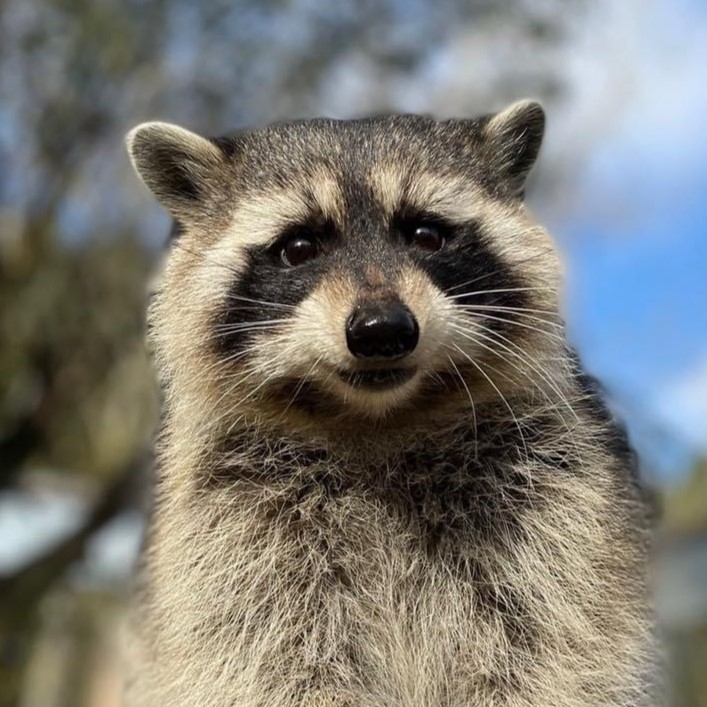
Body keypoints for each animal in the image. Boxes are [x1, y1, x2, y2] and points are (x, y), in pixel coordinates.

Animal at [124, 101, 653, 706]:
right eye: (299, 247)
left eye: (426, 235)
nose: (382, 330)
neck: (375, 419)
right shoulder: (231, 527)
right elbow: (267, 657)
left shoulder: (554, 500)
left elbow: (549, 647)